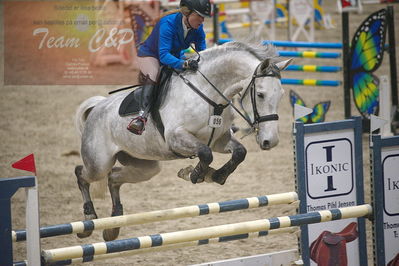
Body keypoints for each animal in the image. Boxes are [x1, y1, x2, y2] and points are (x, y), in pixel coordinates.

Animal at [75, 41, 292, 241]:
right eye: (260, 94)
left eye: (281, 95)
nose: (270, 141)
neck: (209, 94)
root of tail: (96, 107)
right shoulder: (177, 138)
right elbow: (205, 153)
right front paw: (193, 174)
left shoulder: (219, 140)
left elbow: (239, 152)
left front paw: (216, 175)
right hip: (99, 163)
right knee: (82, 174)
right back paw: (89, 220)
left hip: (145, 167)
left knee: (113, 178)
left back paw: (113, 226)